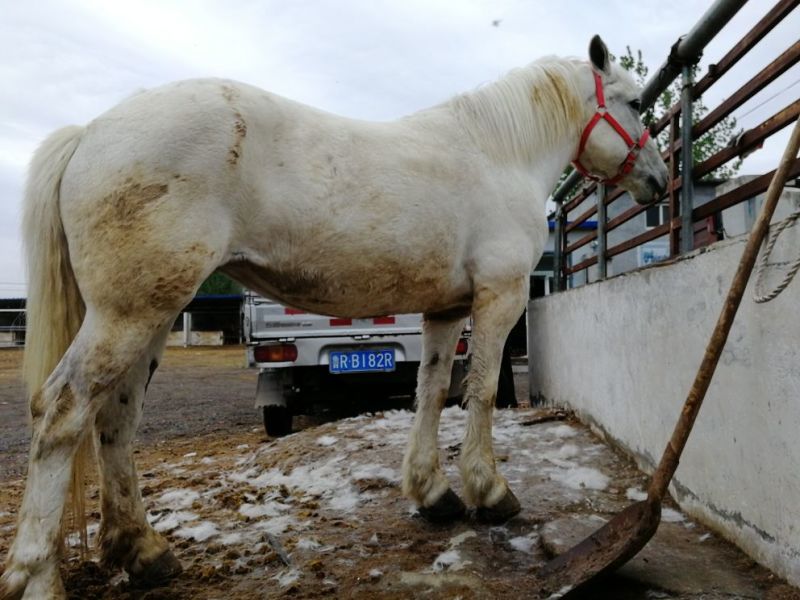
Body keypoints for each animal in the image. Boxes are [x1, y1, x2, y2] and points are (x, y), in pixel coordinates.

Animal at [1, 35, 667, 599]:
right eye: (636, 104)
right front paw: (490, 491)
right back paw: (37, 576)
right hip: (127, 314)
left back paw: (143, 551)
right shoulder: (499, 298)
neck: (497, 153)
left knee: (115, 417)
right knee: (62, 412)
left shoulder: (444, 309)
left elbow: (430, 391)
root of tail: (92, 131)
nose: (659, 181)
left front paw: (433, 492)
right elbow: (477, 393)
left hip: (152, 315)